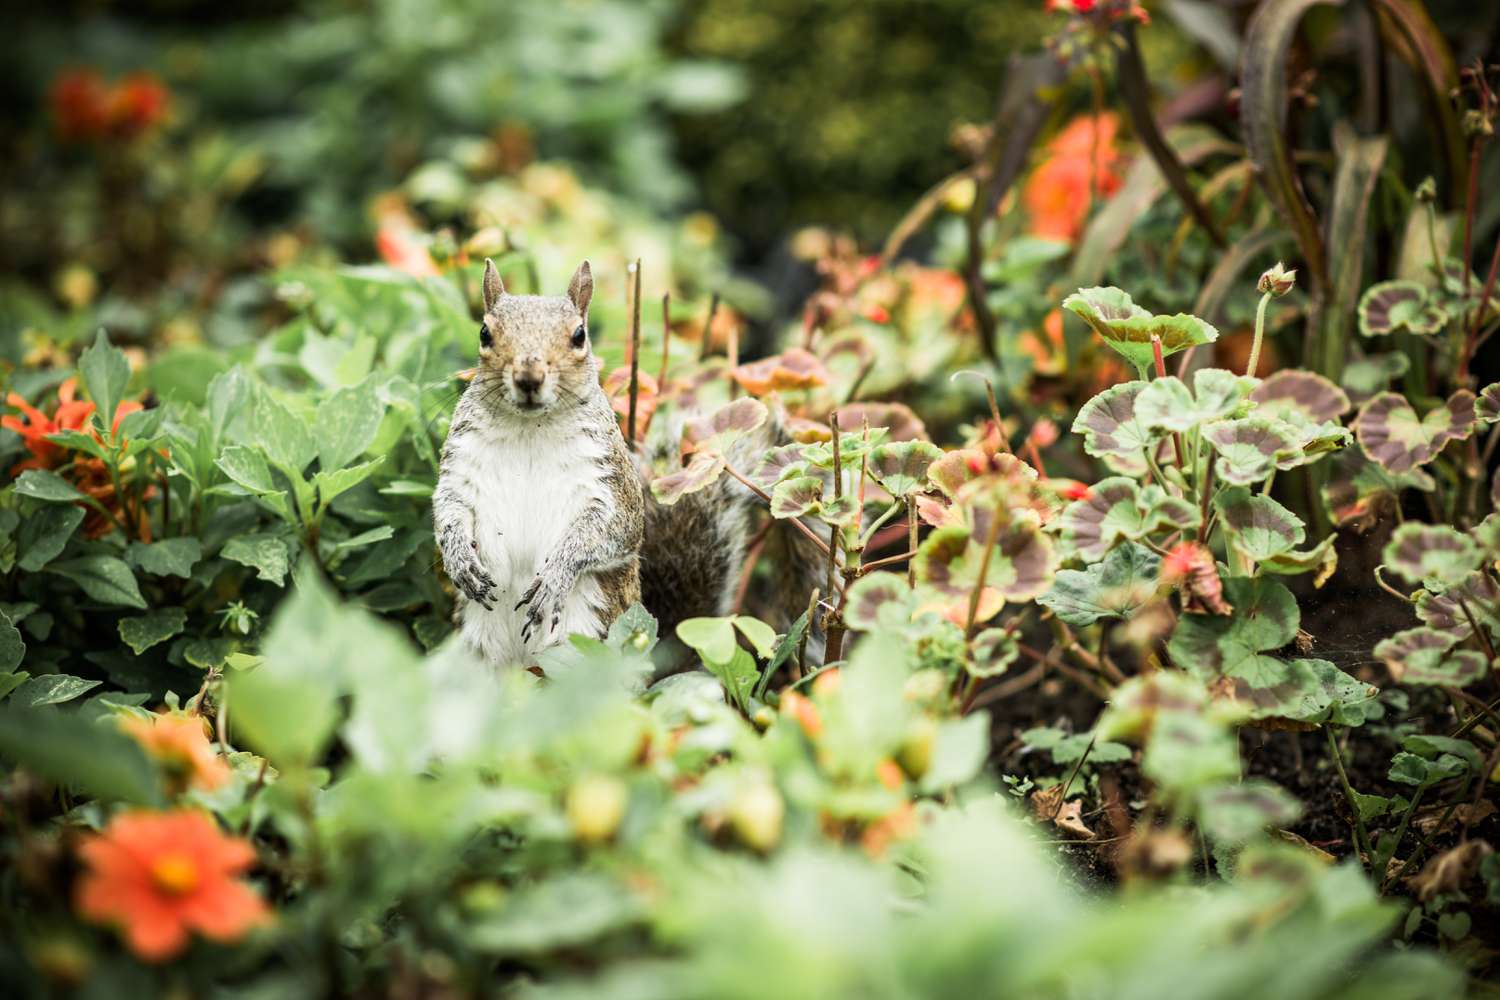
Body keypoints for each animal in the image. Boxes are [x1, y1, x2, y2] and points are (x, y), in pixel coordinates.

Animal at [434, 258, 819, 668]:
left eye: (579, 335)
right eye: (484, 332)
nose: (528, 377)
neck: (529, 429)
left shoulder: (610, 482)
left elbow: (613, 531)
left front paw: (556, 576)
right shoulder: (462, 464)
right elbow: (447, 511)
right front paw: (458, 558)